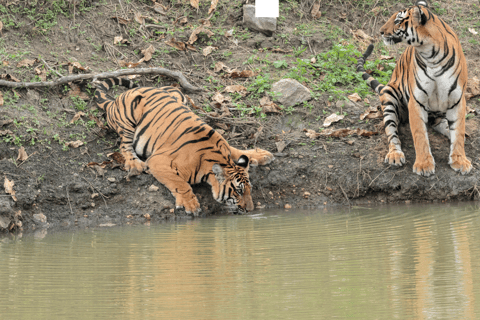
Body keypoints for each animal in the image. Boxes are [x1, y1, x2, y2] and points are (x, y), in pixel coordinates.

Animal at [93, 77, 274, 215]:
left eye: (249, 189)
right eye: (239, 191)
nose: (250, 210)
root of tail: (115, 100)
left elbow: (237, 150)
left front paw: (262, 155)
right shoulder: (158, 161)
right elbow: (180, 183)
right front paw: (191, 205)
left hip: (178, 93)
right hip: (130, 116)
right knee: (124, 146)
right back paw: (135, 164)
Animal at [356, 0, 472, 176]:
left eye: (397, 20)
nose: (381, 32)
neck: (431, 54)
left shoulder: (456, 99)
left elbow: (457, 132)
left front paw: (460, 160)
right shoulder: (417, 100)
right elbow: (420, 135)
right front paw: (424, 165)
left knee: (442, 125)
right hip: (389, 96)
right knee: (392, 133)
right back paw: (395, 155)